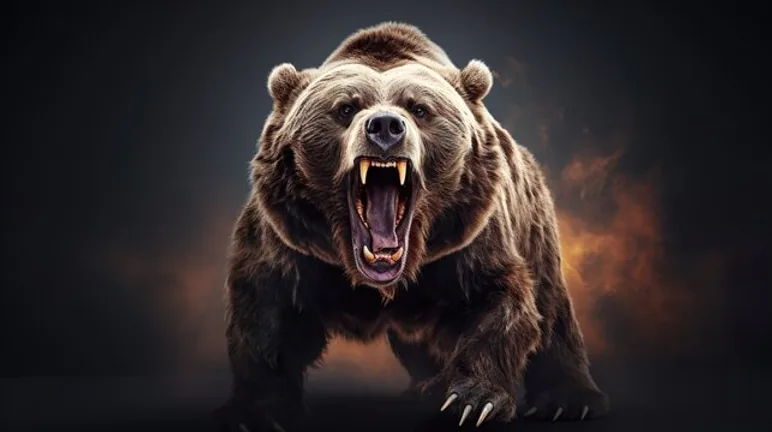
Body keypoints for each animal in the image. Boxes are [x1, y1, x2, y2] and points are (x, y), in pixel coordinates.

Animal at [215, 22, 609, 432]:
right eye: (346, 107)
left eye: (420, 109)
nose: (385, 126)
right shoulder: (291, 244)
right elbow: (265, 313)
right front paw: (252, 411)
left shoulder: (468, 243)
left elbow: (502, 302)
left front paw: (471, 400)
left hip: (534, 220)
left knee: (551, 305)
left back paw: (568, 400)